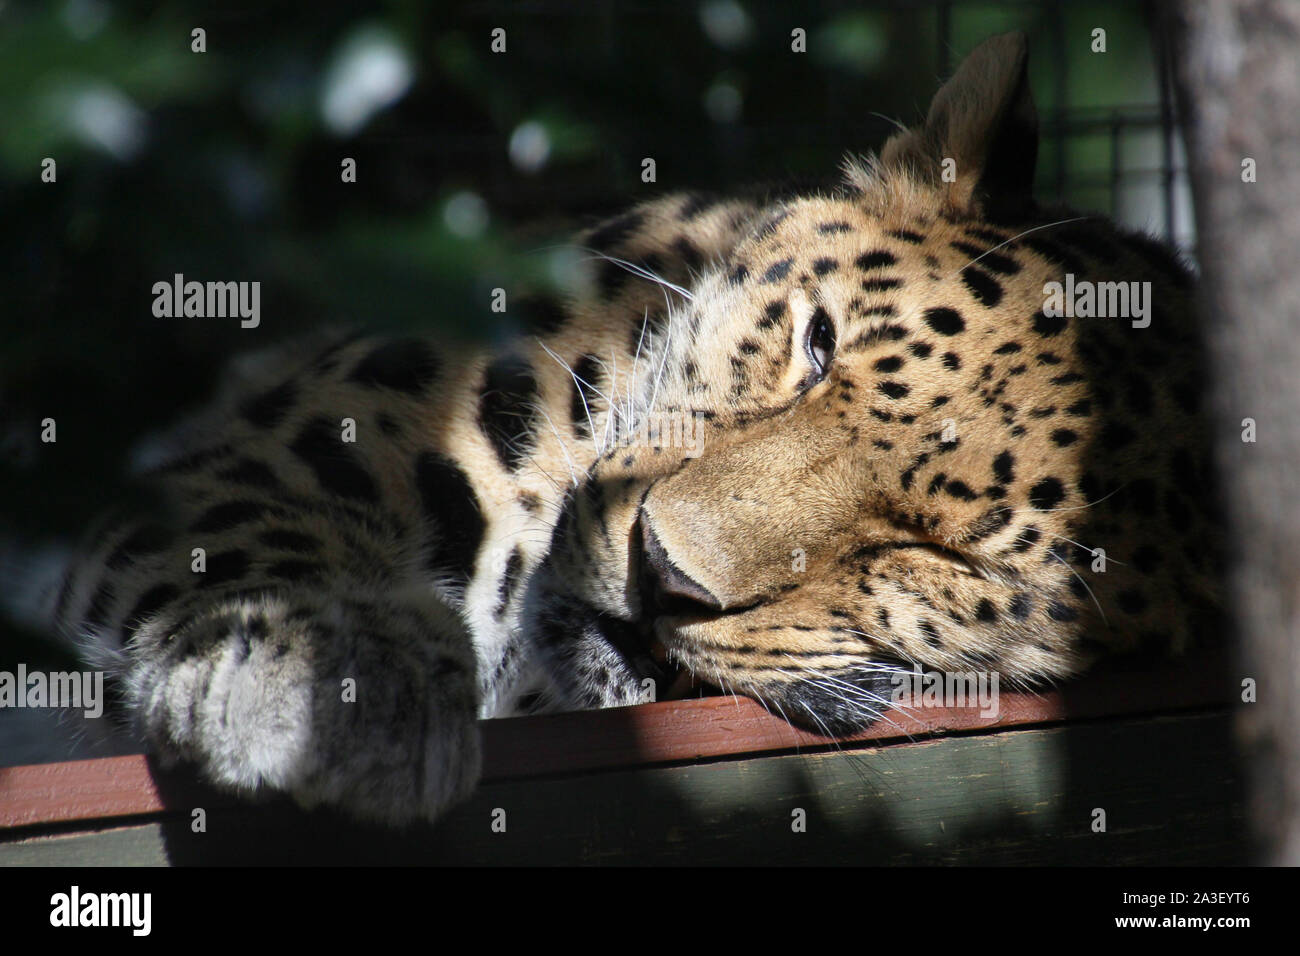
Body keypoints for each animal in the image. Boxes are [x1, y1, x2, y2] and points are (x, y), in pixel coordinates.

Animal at [32, 33, 1222, 825]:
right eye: (816, 345)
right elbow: (261, 527)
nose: (662, 573)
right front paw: (332, 681)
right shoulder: (303, 425)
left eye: (936, 552)